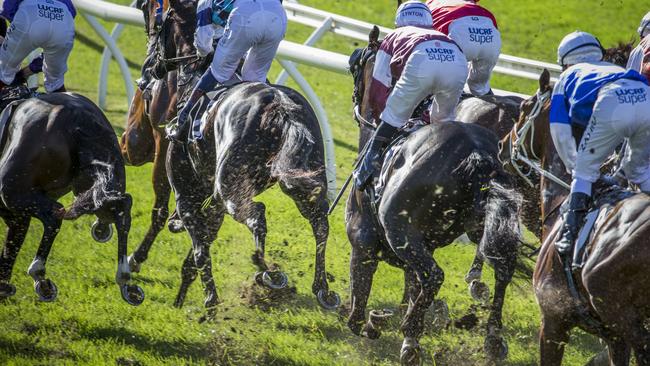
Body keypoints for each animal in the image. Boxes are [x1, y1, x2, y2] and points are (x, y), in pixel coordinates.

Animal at [0, 93, 143, 304]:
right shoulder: (18, 217)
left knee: (53, 216)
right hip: (94, 182)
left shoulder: (14, 211)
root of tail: (76, 115)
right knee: (120, 207)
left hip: (15, 193)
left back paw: (40, 277)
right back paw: (126, 280)